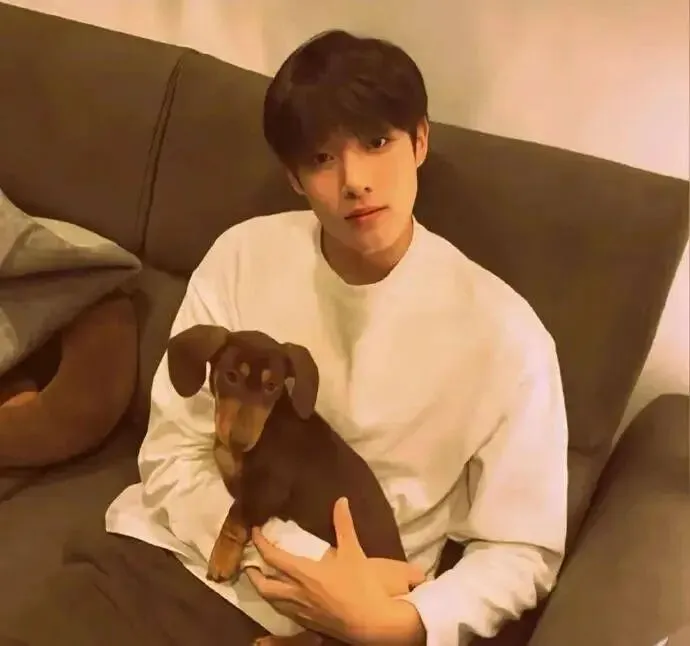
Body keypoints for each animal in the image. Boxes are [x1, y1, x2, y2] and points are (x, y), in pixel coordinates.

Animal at [166, 325, 409, 646]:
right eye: (230, 376)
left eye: (272, 386)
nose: (240, 441)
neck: (267, 426)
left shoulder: (269, 489)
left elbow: (237, 513)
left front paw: (222, 558)